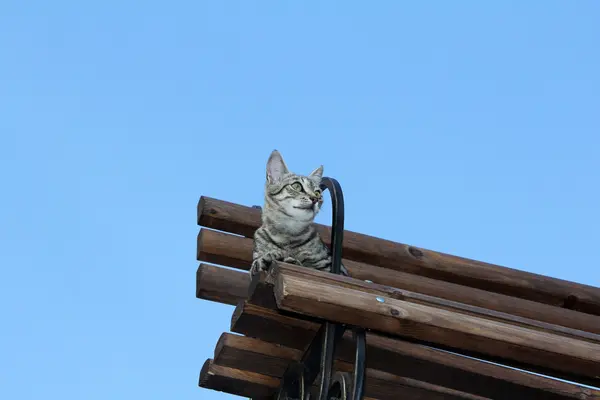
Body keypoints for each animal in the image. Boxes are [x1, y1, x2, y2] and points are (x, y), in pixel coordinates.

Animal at [248, 148, 350, 276]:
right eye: (296, 186)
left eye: (317, 192)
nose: (315, 198)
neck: (288, 233)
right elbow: (257, 262)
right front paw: (268, 258)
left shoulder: (331, 268)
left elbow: (308, 266)